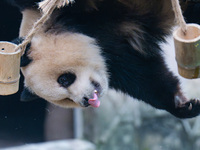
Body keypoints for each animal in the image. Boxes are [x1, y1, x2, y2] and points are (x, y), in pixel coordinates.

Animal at [6, 0, 200, 118]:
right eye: (66, 100)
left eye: (64, 79)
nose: (86, 100)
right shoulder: (116, 58)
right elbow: (148, 79)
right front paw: (184, 106)